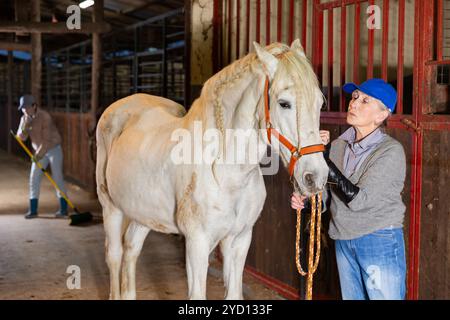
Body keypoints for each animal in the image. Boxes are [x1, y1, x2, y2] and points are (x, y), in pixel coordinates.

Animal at [96, 40, 326, 300]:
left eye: (320, 103)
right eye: (284, 103)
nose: (315, 177)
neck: (227, 174)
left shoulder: (239, 240)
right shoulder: (197, 243)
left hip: (143, 214)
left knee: (131, 249)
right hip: (110, 207)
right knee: (114, 255)